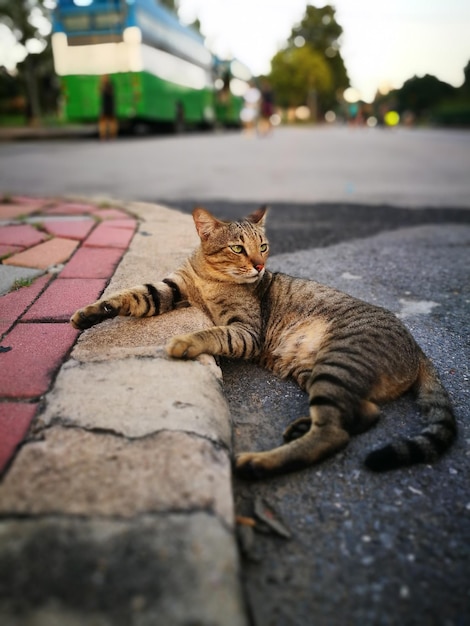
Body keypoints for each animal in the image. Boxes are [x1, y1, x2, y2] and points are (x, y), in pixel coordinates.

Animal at [70, 207, 456, 476]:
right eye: (238, 248)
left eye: (264, 247)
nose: (259, 267)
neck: (210, 276)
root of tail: (417, 346)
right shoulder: (169, 289)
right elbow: (130, 296)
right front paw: (88, 313)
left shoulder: (246, 331)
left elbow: (213, 332)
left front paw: (185, 341)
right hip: (314, 371)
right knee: (361, 416)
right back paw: (299, 428)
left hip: (337, 363)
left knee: (333, 433)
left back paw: (258, 463)